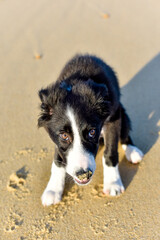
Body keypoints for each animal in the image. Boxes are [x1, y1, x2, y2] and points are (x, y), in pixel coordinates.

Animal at [37, 54, 144, 206]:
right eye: (64, 136)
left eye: (92, 132)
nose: (83, 174)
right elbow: (58, 159)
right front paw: (53, 189)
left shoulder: (113, 119)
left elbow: (110, 152)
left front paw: (113, 183)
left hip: (121, 112)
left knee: (125, 132)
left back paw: (132, 151)